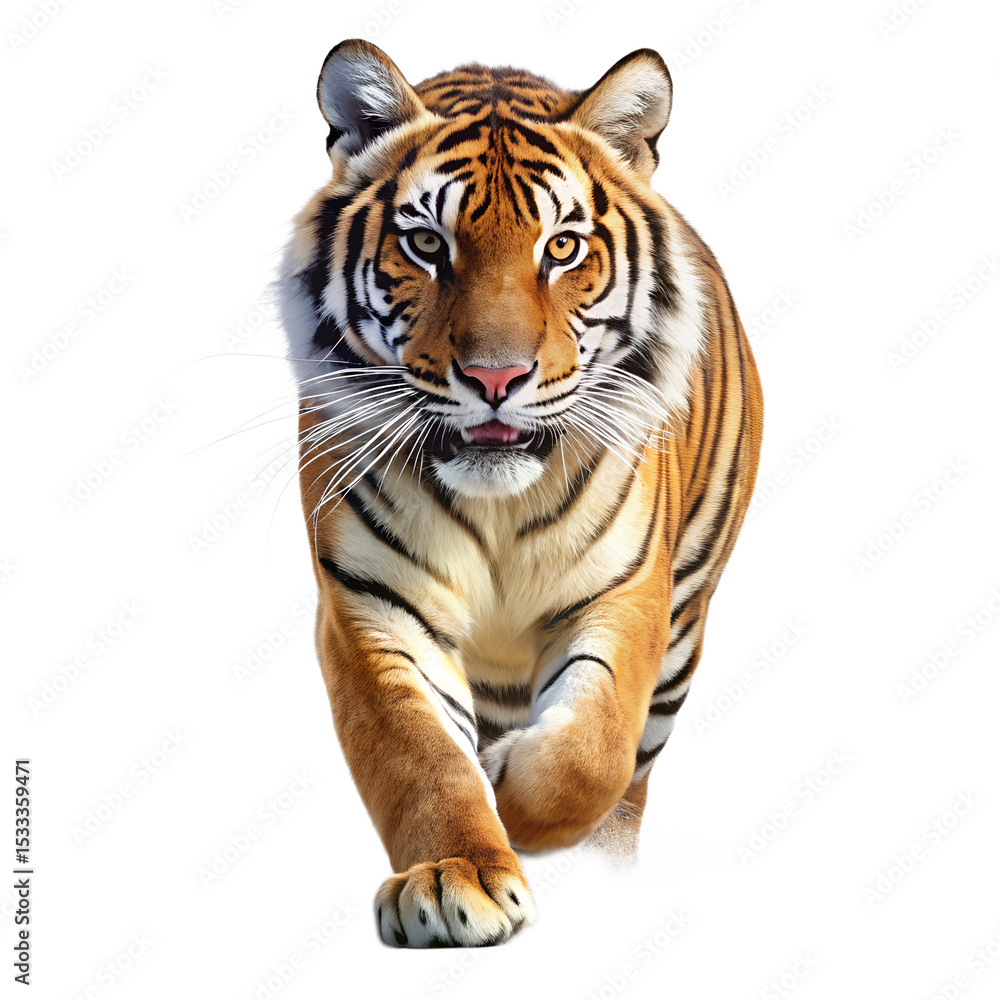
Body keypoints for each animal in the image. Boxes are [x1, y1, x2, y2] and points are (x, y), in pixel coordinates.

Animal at [277, 39, 763, 947]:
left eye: (563, 247)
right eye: (425, 244)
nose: (496, 378)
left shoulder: (626, 596)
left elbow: (592, 754)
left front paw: (511, 789)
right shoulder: (371, 606)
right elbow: (420, 760)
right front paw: (452, 879)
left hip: (686, 618)